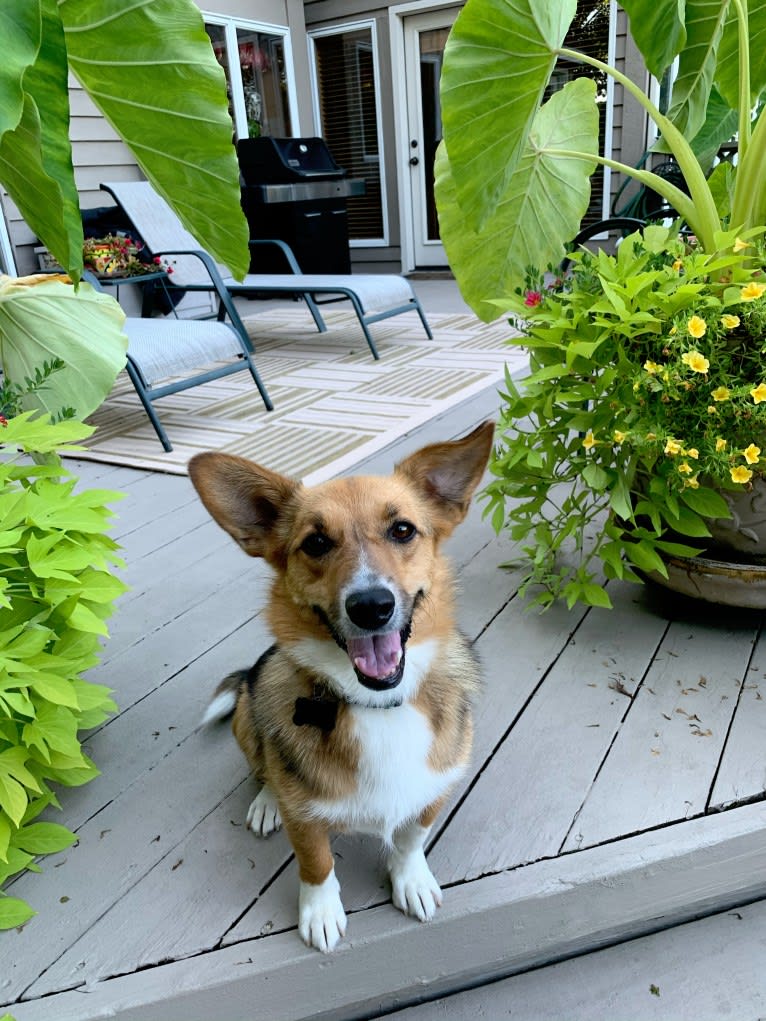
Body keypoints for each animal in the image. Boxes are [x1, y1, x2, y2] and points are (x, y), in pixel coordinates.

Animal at [188, 418, 494, 951]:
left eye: (402, 530)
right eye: (315, 543)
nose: (371, 606)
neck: (379, 706)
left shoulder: (435, 788)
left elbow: (411, 838)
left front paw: (411, 880)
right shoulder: (305, 820)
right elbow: (316, 862)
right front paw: (320, 912)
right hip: (247, 713)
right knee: (262, 766)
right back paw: (266, 802)